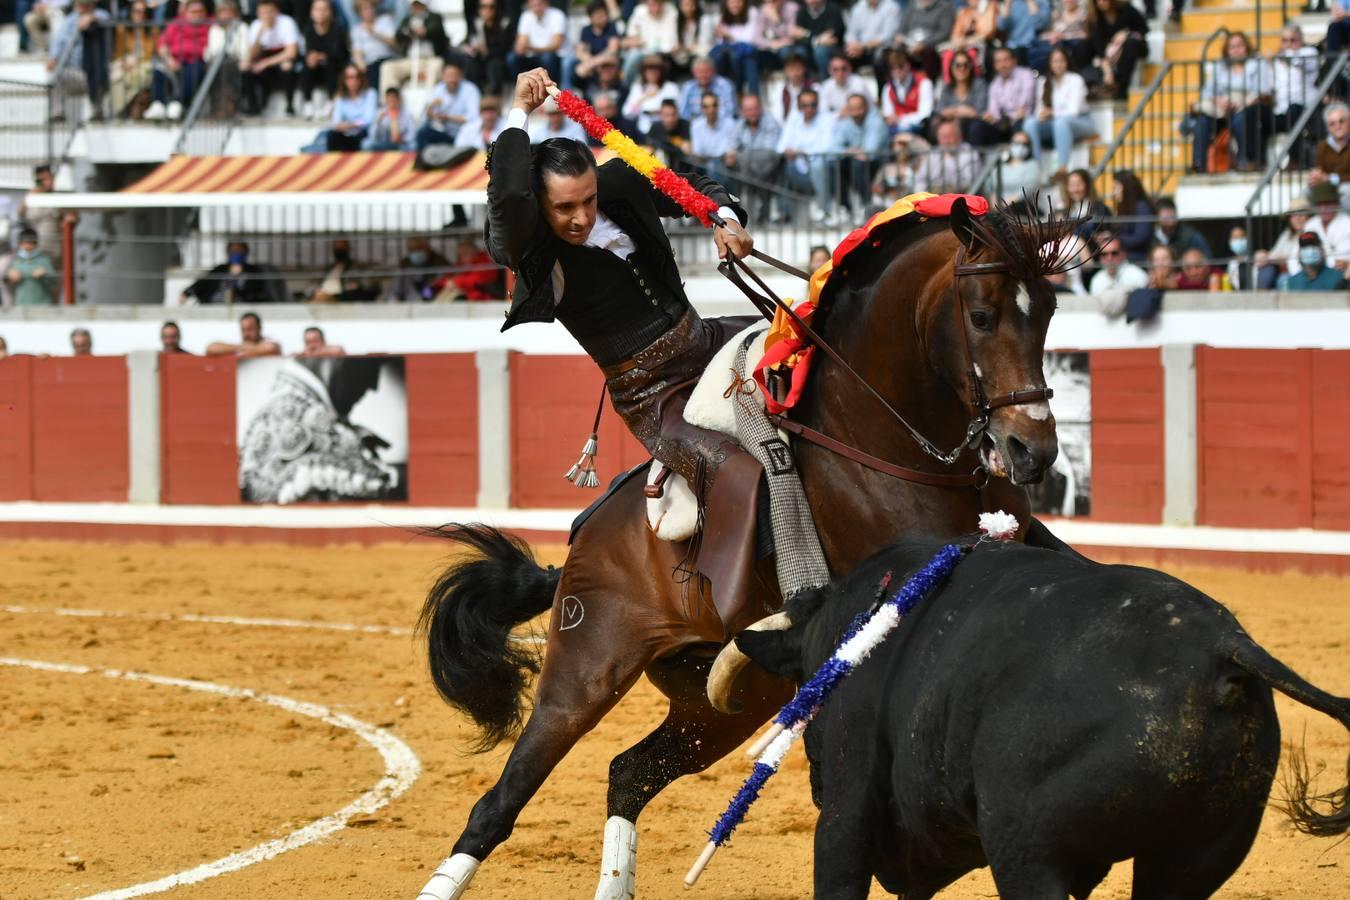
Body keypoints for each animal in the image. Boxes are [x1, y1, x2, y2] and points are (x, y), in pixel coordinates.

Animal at [415, 202, 1080, 900]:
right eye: (981, 315)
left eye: (1049, 311)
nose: (1032, 450)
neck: (885, 435)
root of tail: (581, 541)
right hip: (586, 669)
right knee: (501, 802)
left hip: (721, 705)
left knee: (630, 773)